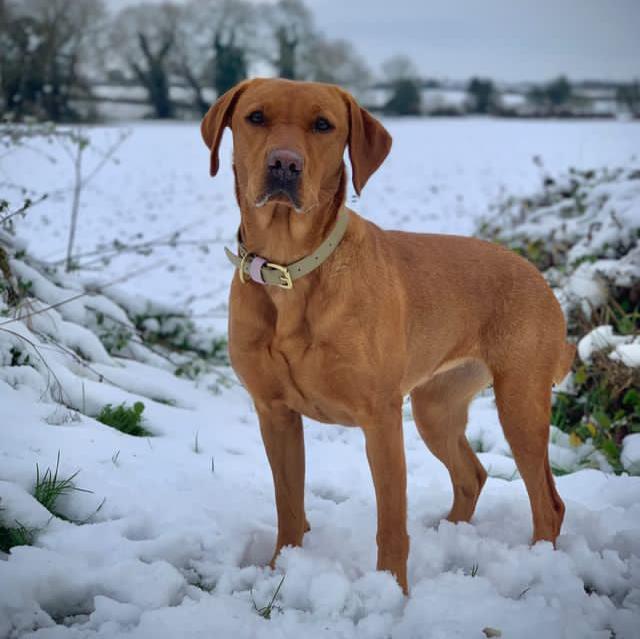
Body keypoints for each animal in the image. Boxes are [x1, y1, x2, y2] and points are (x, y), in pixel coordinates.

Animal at [201, 77, 576, 592]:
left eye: (324, 125)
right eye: (255, 117)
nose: (284, 165)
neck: (290, 270)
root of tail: (537, 274)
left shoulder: (380, 418)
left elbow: (392, 524)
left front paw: (392, 593)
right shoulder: (274, 414)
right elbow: (289, 506)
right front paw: (281, 568)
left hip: (519, 404)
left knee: (548, 503)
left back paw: (540, 568)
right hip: (435, 408)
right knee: (472, 474)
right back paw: (450, 534)